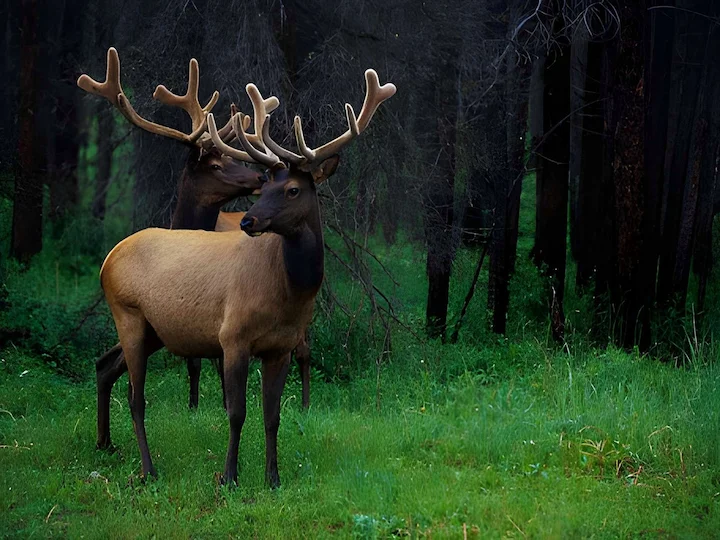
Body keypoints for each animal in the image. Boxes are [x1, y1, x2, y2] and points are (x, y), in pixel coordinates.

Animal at [98, 68, 396, 486]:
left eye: (292, 189)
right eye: (266, 185)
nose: (248, 220)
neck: (287, 293)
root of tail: (108, 258)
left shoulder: (281, 347)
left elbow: (273, 416)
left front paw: (273, 478)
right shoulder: (233, 336)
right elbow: (236, 412)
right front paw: (229, 477)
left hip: (158, 329)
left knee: (105, 366)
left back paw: (105, 443)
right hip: (128, 315)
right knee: (136, 396)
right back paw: (148, 469)